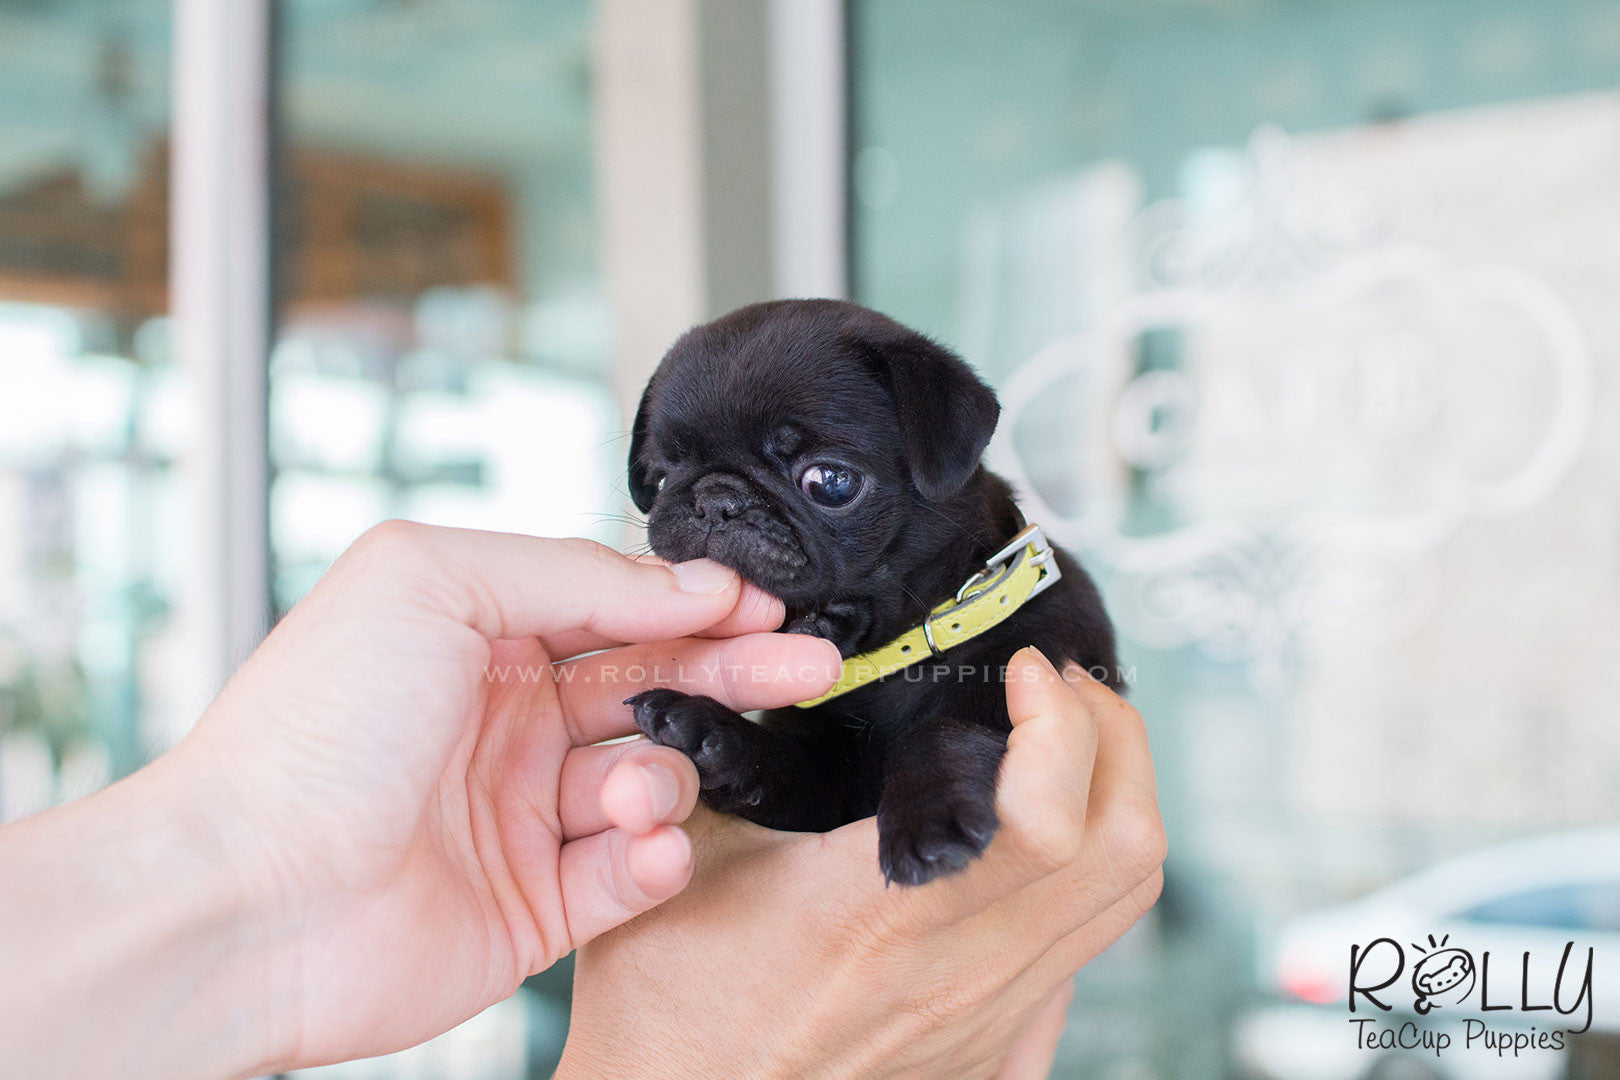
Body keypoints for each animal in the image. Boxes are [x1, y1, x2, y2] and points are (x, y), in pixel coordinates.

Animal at [625, 297, 1121, 887]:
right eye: (659, 478)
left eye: (831, 482)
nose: (713, 499)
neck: (889, 664)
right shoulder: (817, 790)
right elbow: (779, 763)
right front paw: (704, 730)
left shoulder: (1027, 663)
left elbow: (943, 728)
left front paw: (928, 816)